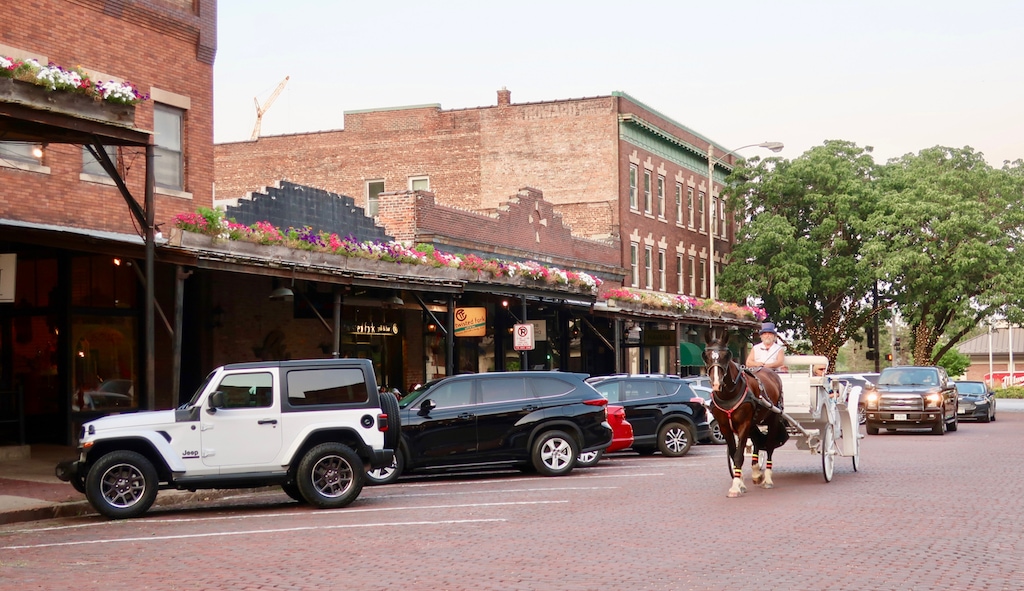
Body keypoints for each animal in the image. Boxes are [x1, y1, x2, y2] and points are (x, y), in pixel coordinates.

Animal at [704, 325, 790, 495]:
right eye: (706, 356)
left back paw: (767, 479)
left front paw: (736, 486)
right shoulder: (725, 426)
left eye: (726, 356)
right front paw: (740, 481)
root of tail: (770, 372)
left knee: (769, 445)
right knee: (757, 441)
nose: (716, 383)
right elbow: (734, 453)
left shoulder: (743, 424)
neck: (729, 395)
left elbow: (739, 455)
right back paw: (756, 472)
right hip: (754, 421)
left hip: (773, 419)